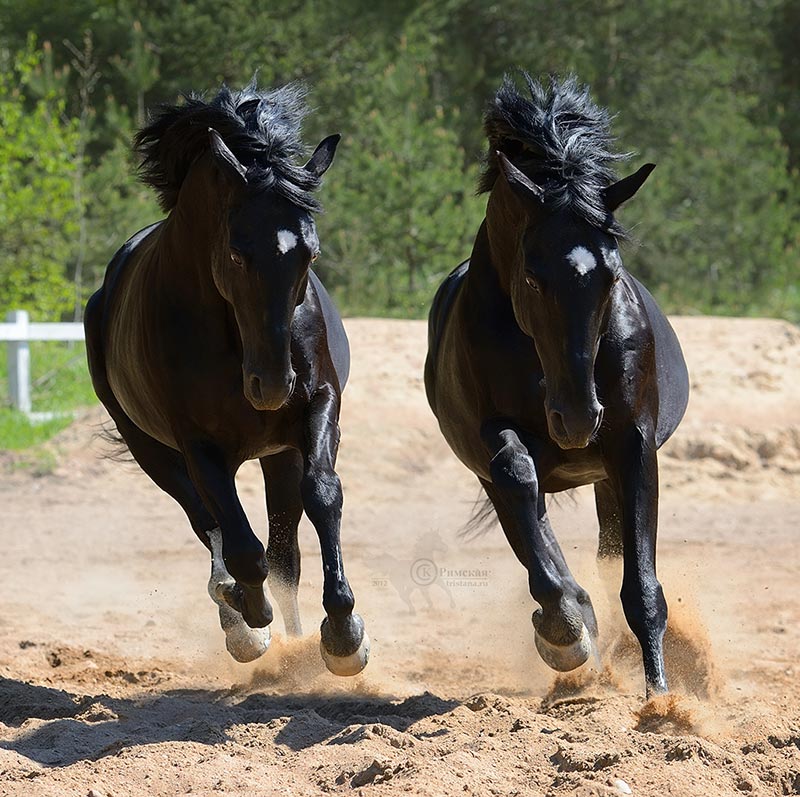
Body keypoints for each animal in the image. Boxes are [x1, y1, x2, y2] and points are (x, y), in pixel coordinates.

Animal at [85, 84, 368, 676]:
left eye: (310, 253)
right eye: (237, 252)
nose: (271, 386)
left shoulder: (317, 409)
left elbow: (323, 495)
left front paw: (344, 632)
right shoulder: (198, 446)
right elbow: (239, 543)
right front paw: (248, 615)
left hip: (278, 452)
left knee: (285, 555)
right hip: (152, 450)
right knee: (209, 526)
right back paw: (239, 619)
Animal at [424, 74, 688, 696]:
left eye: (611, 274)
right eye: (531, 277)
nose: (576, 417)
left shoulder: (632, 445)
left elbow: (641, 586)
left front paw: (662, 700)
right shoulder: (496, 441)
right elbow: (520, 487)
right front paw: (565, 629)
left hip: (605, 473)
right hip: (500, 471)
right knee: (527, 513)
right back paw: (568, 627)